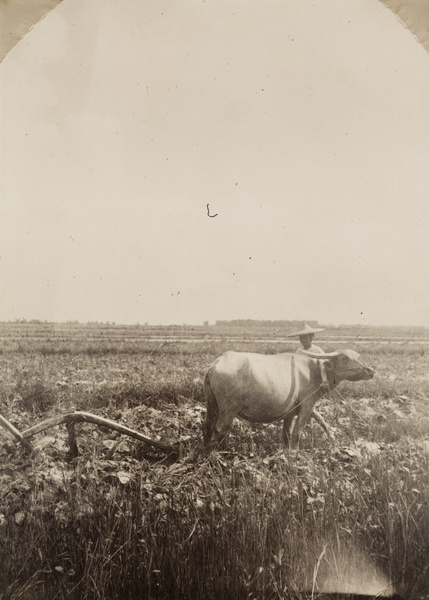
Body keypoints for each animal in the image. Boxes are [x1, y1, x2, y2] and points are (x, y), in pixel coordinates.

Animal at [202, 346, 372, 450]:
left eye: (357, 356)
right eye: (344, 357)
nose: (370, 370)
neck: (314, 371)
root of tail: (216, 363)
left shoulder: (292, 412)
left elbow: (289, 432)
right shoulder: (307, 405)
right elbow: (298, 432)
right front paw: (295, 452)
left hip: (211, 404)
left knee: (207, 426)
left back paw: (205, 449)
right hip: (228, 409)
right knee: (220, 428)